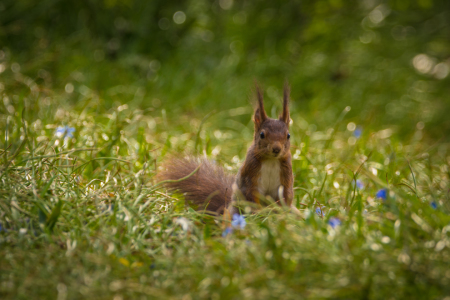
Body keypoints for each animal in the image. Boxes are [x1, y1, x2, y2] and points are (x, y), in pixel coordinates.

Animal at [156, 84, 294, 216]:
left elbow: (286, 194)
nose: (276, 149)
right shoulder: (250, 172)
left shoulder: (286, 172)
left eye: (288, 135)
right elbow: (251, 194)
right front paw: (259, 213)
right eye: (262, 134)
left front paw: (280, 212)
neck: (271, 160)